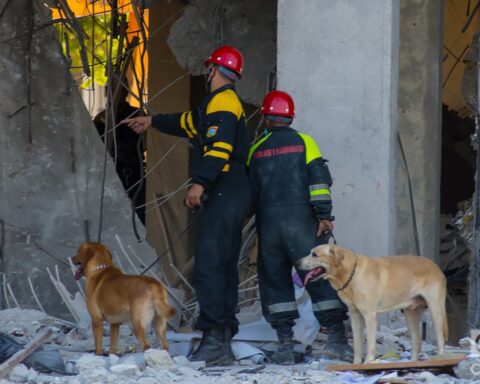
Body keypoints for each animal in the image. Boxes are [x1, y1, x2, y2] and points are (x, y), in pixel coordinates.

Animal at [298, 244, 448, 364]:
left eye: (314, 254)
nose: (297, 262)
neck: (351, 274)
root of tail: (435, 266)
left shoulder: (369, 315)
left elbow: (370, 342)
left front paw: (368, 362)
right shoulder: (355, 316)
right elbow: (357, 345)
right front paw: (356, 364)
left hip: (435, 309)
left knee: (440, 338)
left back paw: (440, 358)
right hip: (410, 315)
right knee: (417, 340)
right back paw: (412, 362)